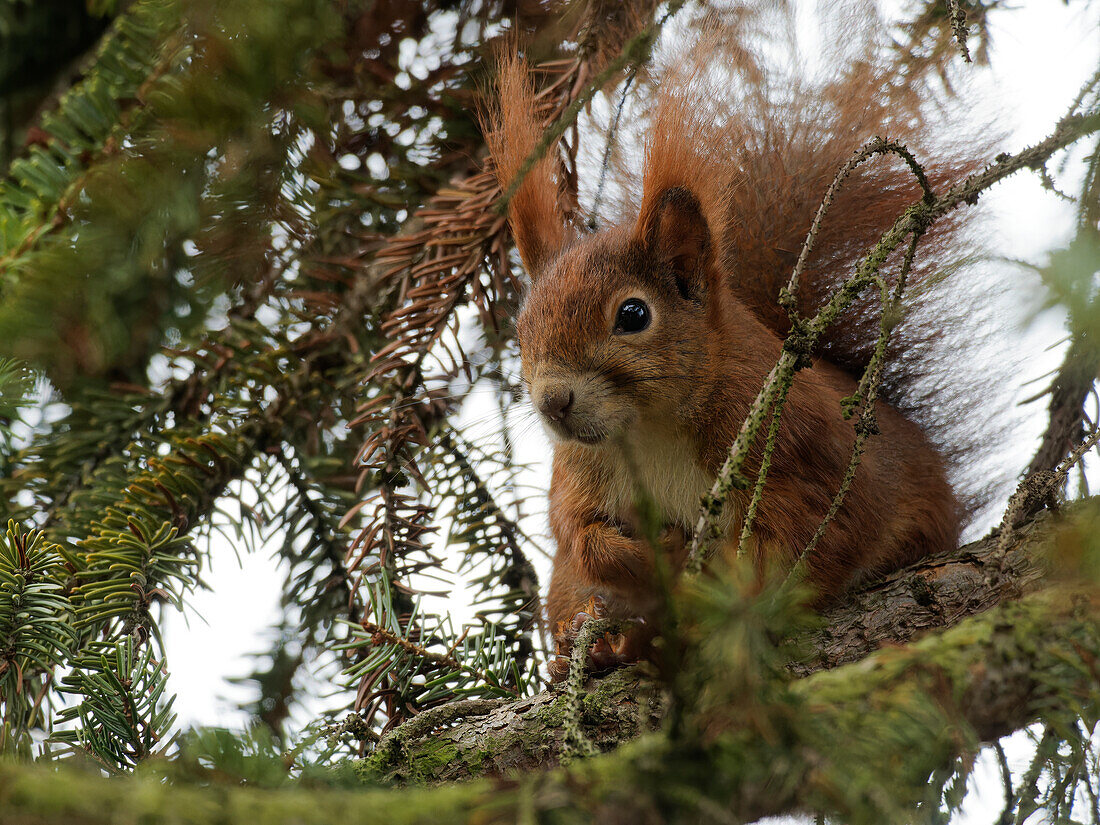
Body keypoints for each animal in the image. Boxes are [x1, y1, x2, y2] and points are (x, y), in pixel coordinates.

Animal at [484, 53, 981, 686]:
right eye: (521, 330)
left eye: (633, 315)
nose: (554, 402)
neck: (649, 431)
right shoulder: (579, 473)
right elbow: (582, 536)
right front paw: (652, 559)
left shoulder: (798, 446)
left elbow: (807, 539)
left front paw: (705, 599)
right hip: (565, 584)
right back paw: (595, 644)